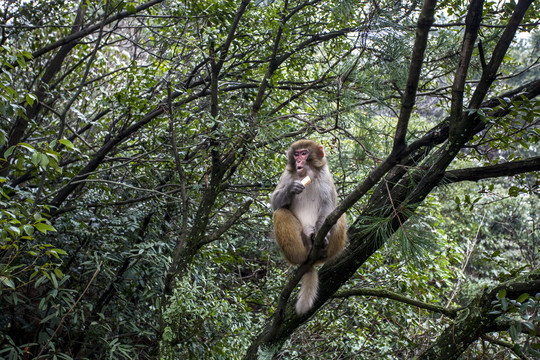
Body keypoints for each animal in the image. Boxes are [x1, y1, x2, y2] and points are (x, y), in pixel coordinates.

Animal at [272, 139, 348, 314]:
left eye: (304, 153)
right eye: (296, 154)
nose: (299, 161)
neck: (307, 175)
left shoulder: (325, 176)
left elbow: (328, 208)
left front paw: (324, 237)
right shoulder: (287, 175)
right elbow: (275, 203)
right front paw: (291, 189)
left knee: (338, 214)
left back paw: (321, 247)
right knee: (280, 212)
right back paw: (301, 255)